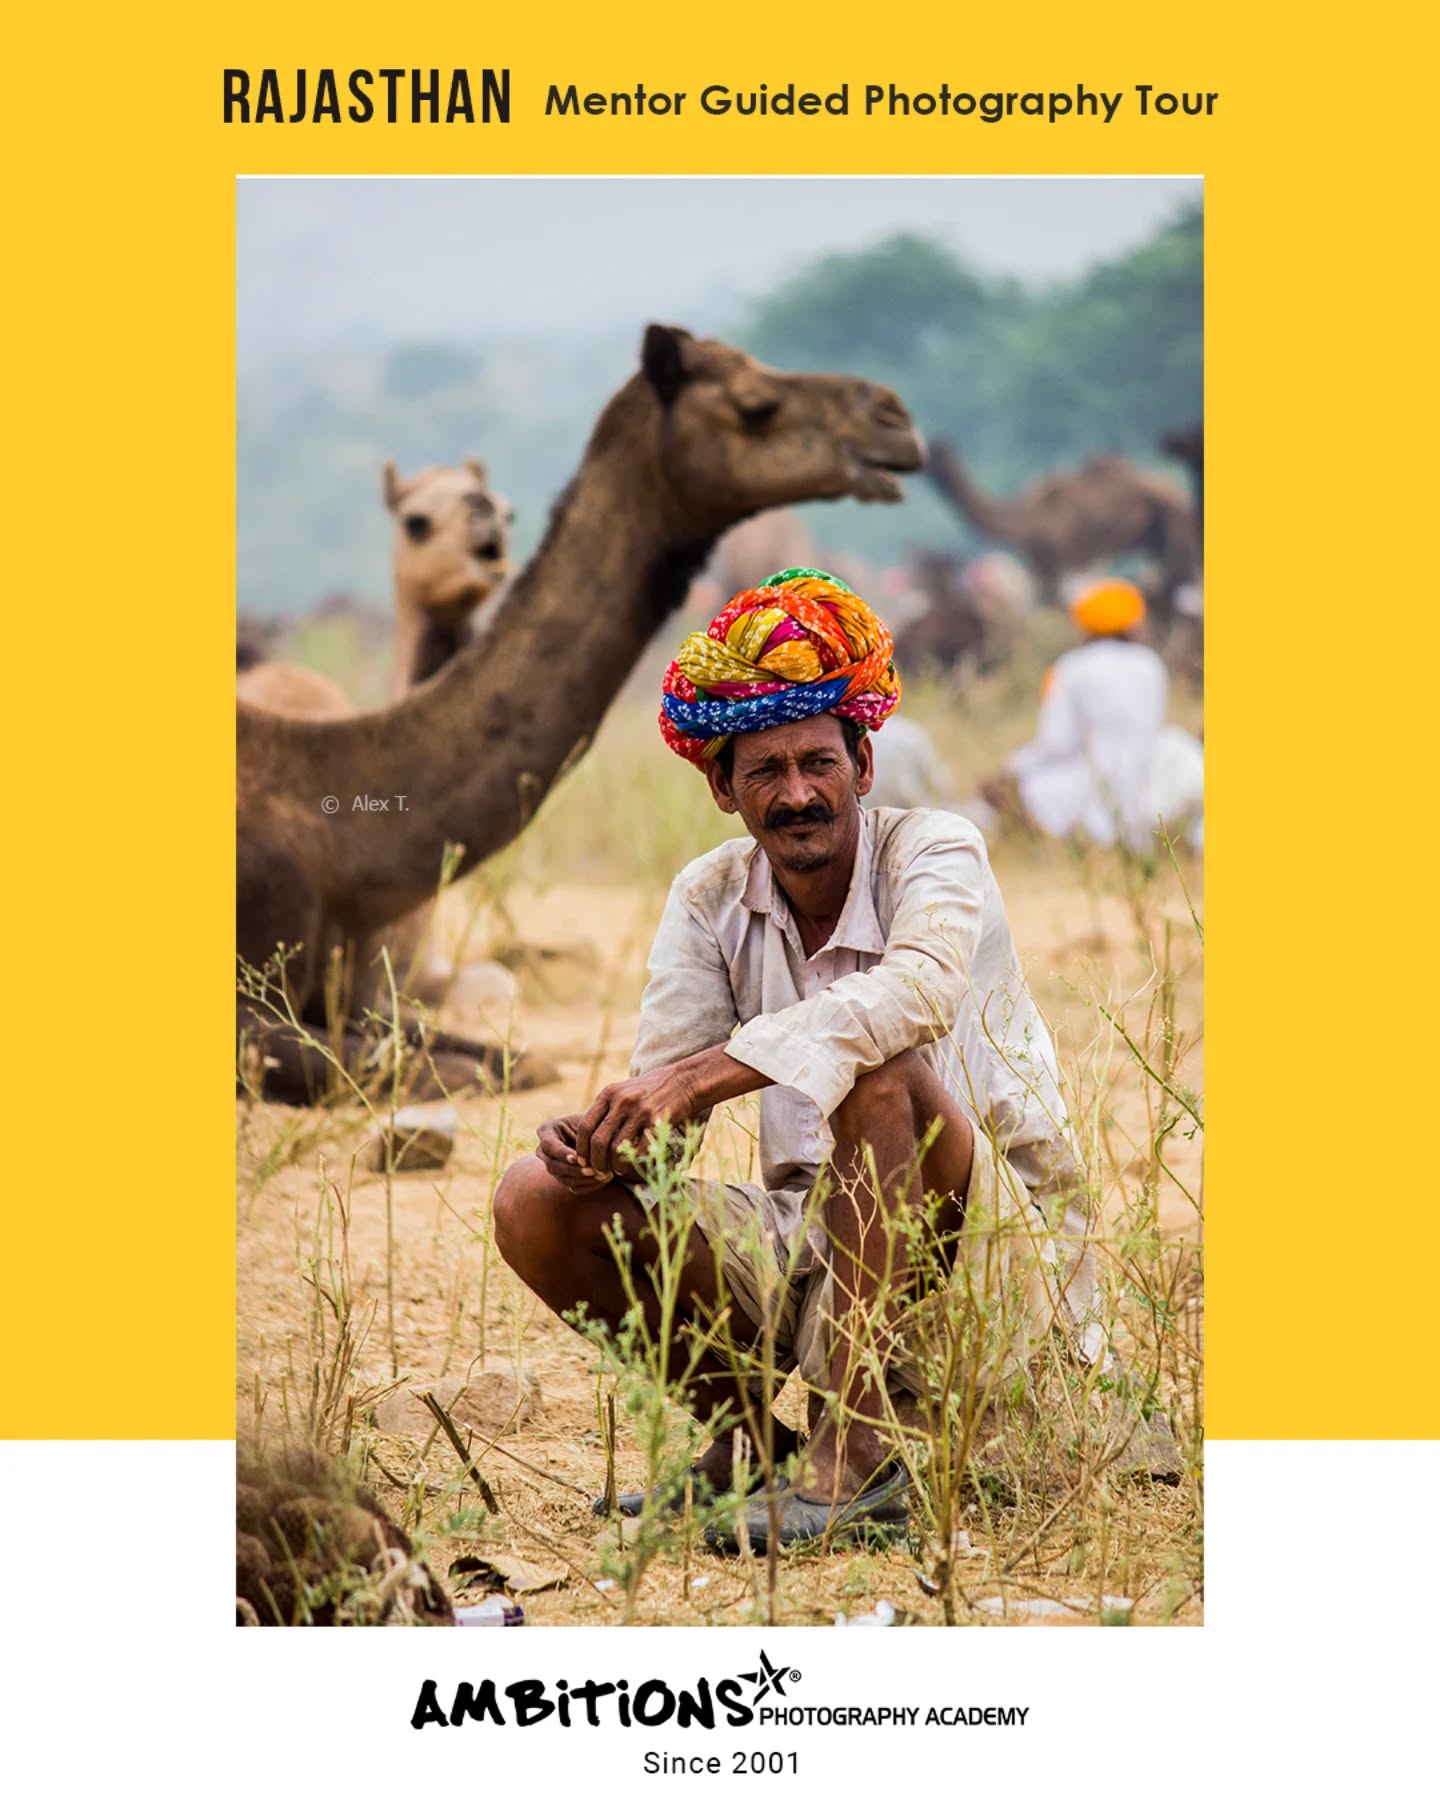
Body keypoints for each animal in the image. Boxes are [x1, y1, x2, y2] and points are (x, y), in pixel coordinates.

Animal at [239, 324, 922, 1103]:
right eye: (756, 405)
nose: (894, 419)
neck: (333, 838)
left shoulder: (361, 995)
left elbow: (506, 1059)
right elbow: (401, 1063)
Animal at [926, 441, 1200, 618]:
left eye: (934, 451)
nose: (923, 459)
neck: (1029, 518)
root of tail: (1180, 496)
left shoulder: (1059, 558)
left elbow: (1052, 605)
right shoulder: (1041, 563)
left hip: (1172, 520)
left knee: (1179, 574)